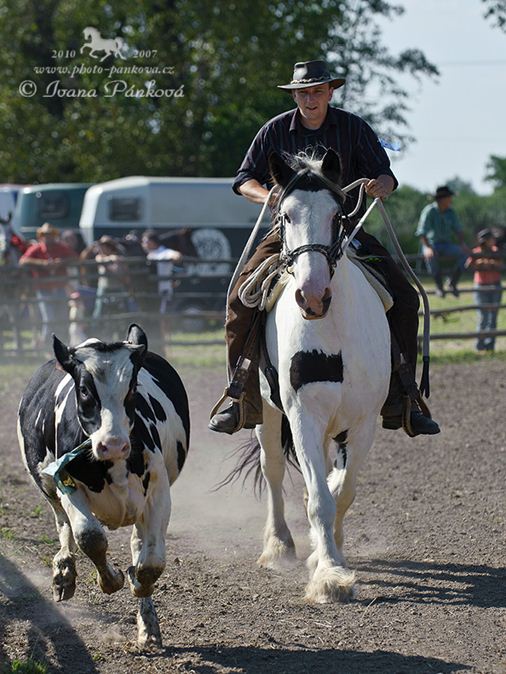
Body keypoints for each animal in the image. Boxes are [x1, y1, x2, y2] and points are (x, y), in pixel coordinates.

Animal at [17, 326, 190, 644]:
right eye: (85, 389)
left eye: (132, 387)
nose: (113, 445)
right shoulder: (66, 482)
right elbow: (90, 537)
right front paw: (111, 579)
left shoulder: (158, 489)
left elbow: (151, 562)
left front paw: (137, 583)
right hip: (46, 486)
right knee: (63, 524)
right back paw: (64, 573)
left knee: (137, 543)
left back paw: (148, 625)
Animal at [255, 150, 390, 600]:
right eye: (285, 215)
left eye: (338, 215)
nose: (312, 297)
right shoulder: (303, 416)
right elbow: (318, 498)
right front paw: (329, 575)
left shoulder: (363, 423)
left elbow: (342, 491)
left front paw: (330, 555)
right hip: (265, 411)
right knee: (272, 467)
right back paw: (278, 545)